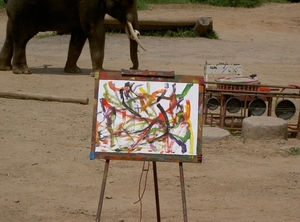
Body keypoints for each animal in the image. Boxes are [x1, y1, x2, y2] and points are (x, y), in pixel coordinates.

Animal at [0, 0, 146, 74]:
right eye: (130, 2)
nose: (130, 68)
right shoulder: (89, 3)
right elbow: (96, 31)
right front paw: (99, 73)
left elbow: (79, 35)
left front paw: (74, 71)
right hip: (22, 11)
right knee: (21, 39)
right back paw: (23, 71)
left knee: (9, 37)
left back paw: (6, 68)